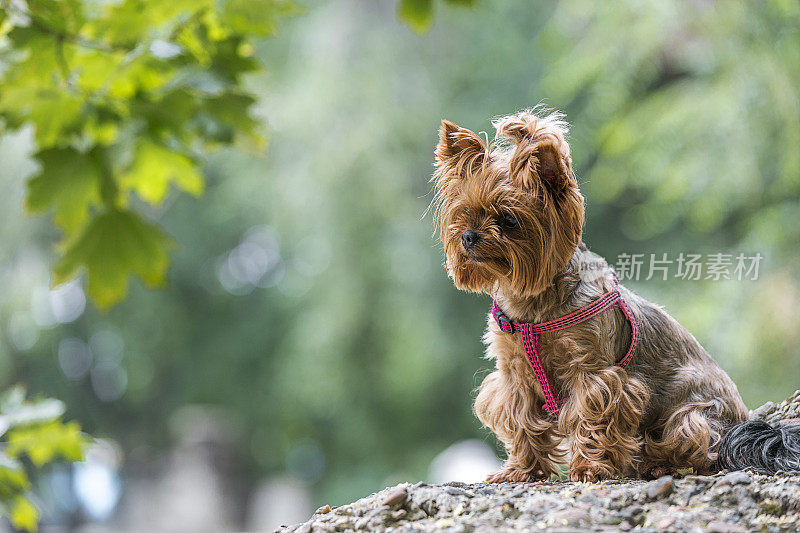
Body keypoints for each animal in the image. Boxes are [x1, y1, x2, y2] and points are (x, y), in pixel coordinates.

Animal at [432, 106, 800, 480]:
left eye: (508, 220)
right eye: (464, 213)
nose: (468, 237)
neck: (533, 304)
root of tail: (743, 421)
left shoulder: (593, 373)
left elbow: (592, 418)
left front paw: (589, 468)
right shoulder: (515, 375)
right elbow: (522, 421)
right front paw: (522, 470)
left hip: (690, 416)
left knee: (698, 448)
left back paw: (658, 464)